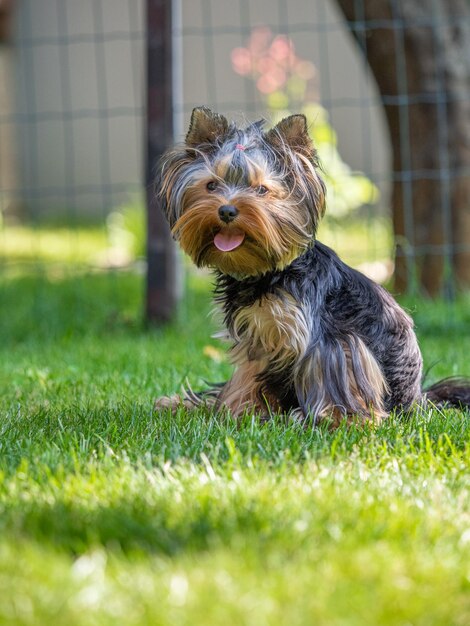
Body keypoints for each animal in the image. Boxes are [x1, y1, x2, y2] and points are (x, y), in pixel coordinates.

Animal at [156, 108, 470, 424]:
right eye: (211, 185)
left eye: (261, 190)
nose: (227, 210)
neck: (268, 274)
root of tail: (418, 399)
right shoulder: (257, 342)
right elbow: (245, 380)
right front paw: (236, 412)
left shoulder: (330, 339)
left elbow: (333, 373)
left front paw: (338, 419)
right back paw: (184, 403)